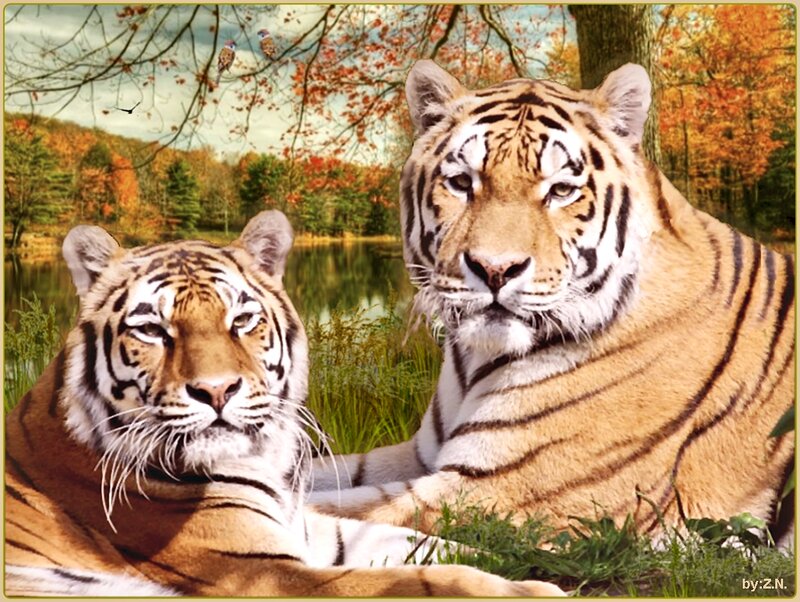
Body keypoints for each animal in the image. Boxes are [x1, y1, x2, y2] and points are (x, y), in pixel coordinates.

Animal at [4, 210, 565, 597]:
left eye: (241, 320)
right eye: (153, 330)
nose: (216, 391)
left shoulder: (308, 529)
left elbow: (431, 545)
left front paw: (547, 552)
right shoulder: (262, 571)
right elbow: (427, 579)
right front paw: (534, 589)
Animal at [309, 60, 796, 543]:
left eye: (561, 190)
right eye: (462, 183)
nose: (495, 269)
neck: (475, 361)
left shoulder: (502, 491)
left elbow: (327, 509)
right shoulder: (419, 453)